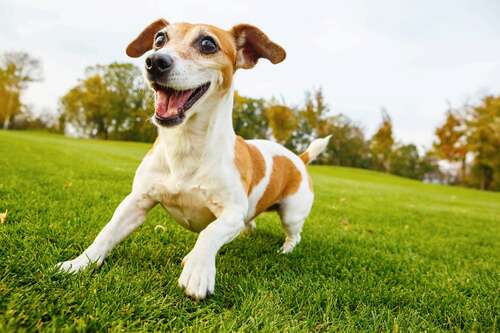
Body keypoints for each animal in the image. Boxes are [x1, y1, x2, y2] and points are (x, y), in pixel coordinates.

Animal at [57, 17, 332, 298]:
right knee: (250, 221)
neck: (185, 143)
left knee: (293, 234)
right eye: (159, 39)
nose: (154, 61)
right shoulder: (136, 202)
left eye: (208, 44)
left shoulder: (231, 213)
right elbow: (107, 233)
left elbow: (209, 233)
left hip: (292, 213)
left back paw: (285, 249)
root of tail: (298, 158)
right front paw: (79, 263)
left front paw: (198, 271)